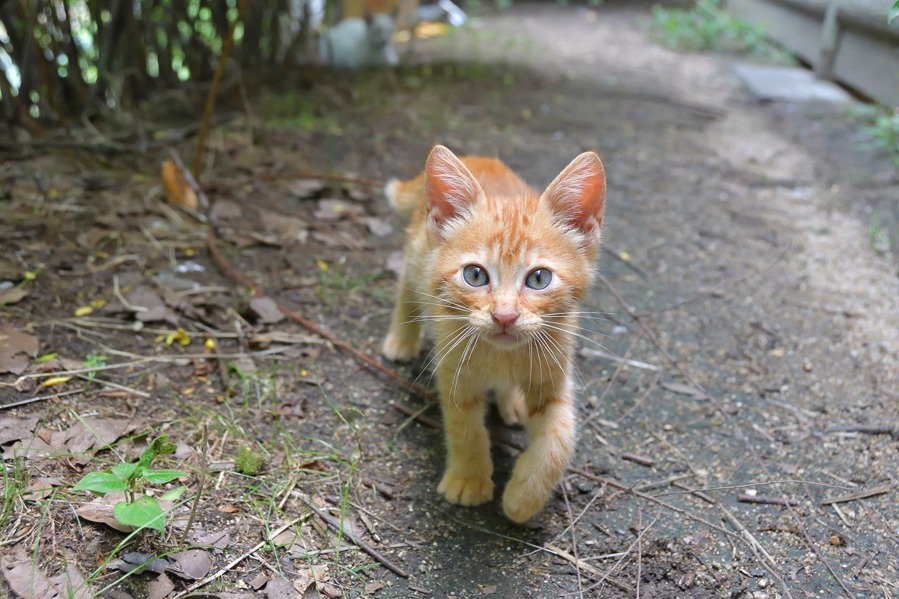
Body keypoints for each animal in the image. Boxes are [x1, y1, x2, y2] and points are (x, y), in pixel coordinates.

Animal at [380, 144, 604, 520]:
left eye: (539, 279)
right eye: (475, 275)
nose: (504, 316)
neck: (504, 356)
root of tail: (478, 157)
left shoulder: (554, 380)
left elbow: (560, 438)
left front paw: (524, 497)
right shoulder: (454, 372)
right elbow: (464, 428)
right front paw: (469, 478)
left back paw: (511, 402)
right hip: (417, 259)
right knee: (406, 291)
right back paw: (400, 338)